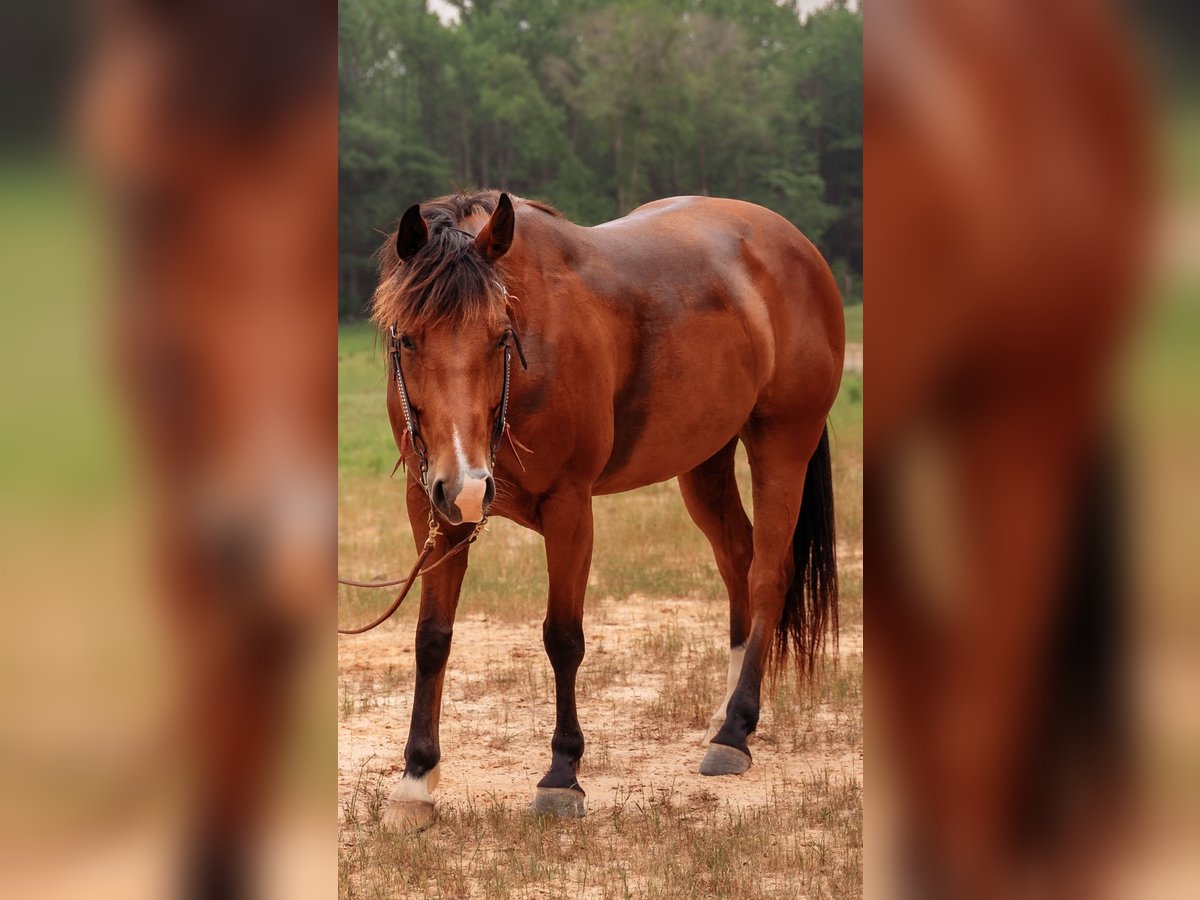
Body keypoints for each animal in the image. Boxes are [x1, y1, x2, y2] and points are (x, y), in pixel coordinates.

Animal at [364, 190, 844, 829]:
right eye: (409, 339)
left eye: (500, 336)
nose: (466, 484)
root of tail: (798, 247)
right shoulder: (432, 509)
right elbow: (431, 638)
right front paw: (416, 781)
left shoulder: (569, 508)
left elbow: (563, 637)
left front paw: (562, 776)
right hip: (705, 461)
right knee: (738, 561)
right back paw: (723, 717)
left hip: (782, 444)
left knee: (768, 574)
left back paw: (735, 734)